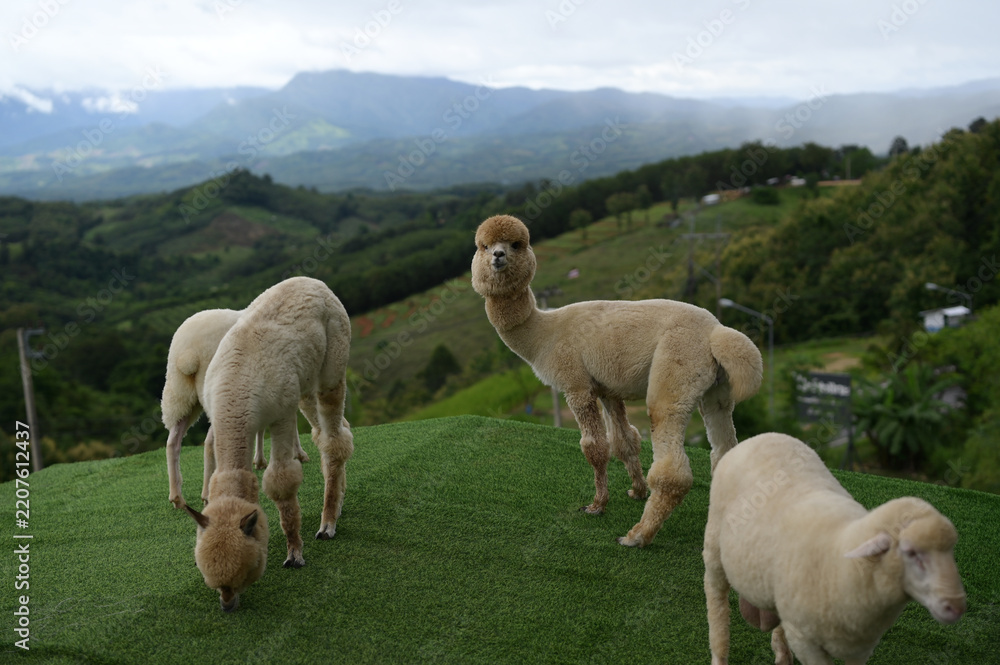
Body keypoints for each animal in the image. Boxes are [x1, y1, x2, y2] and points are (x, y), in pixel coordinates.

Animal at [161, 308, 310, 509]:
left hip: (180, 395)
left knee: (173, 442)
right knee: (209, 442)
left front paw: (259, 460)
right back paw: (207, 493)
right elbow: (291, 422)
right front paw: (299, 454)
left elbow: (261, 427)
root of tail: (188, 354)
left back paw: (177, 496)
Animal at [183, 276, 354, 611]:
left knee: (333, 438)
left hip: (333, 356)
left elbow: (280, 482)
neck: (236, 392)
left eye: (245, 572)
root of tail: (313, 281)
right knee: (336, 431)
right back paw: (337, 503)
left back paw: (327, 523)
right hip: (304, 383)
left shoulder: (281, 413)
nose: (227, 605)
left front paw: (294, 554)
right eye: (209, 577)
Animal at [471, 215, 763, 547]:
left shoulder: (576, 384)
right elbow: (625, 441)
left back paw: (638, 536)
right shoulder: (607, 389)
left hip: (675, 367)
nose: (498, 255)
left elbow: (595, 448)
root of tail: (715, 332)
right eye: (483, 246)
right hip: (717, 391)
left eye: (516, 244)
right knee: (725, 451)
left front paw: (597, 505)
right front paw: (637, 490)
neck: (544, 334)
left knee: (673, 465)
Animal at [703, 432, 966, 665]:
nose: (956, 606)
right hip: (714, 549)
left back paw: (782, 655)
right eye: (911, 552)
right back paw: (719, 654)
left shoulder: (862, 647)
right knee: (716, 602)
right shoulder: (805, 641)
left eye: (951, 551)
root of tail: (759, 437)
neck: (841, 558)